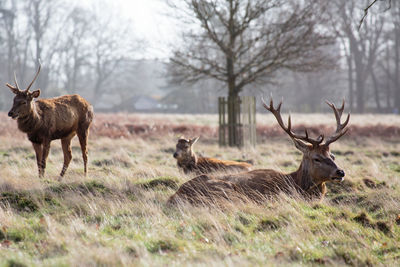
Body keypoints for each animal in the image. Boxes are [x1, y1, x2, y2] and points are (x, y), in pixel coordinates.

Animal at [169, 99, 350, 206]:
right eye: (316, 158)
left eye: (332, 155)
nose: (340, 172)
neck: (297, 184)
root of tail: (175, 195)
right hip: (227, 190)